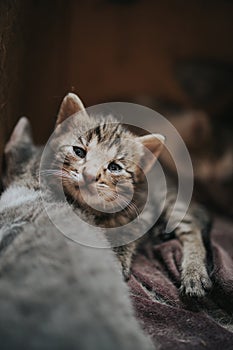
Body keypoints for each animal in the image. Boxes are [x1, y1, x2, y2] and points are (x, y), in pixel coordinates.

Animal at [42, 93, 213, 298]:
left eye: (114, 167)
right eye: (79, 151)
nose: (89, 175)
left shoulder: (144, 210)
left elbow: (128, 232)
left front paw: (117, 259)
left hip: (171, 198)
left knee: (191, 228)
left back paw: (194, 272)